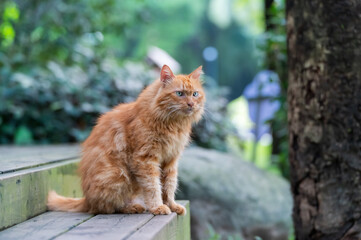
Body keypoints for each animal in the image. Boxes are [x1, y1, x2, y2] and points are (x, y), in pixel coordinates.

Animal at [47, 64, 205, 216]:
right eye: (180, 93)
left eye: (195, 94)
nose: (191, 104)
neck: (173, 125)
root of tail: (87, 200)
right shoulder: (146, 159)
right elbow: (153, 187)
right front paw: (158, 207)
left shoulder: (170, 160)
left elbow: (169, 187)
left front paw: (171, 205)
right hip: (118, 175)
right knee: (108, 208)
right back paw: (133, 207)